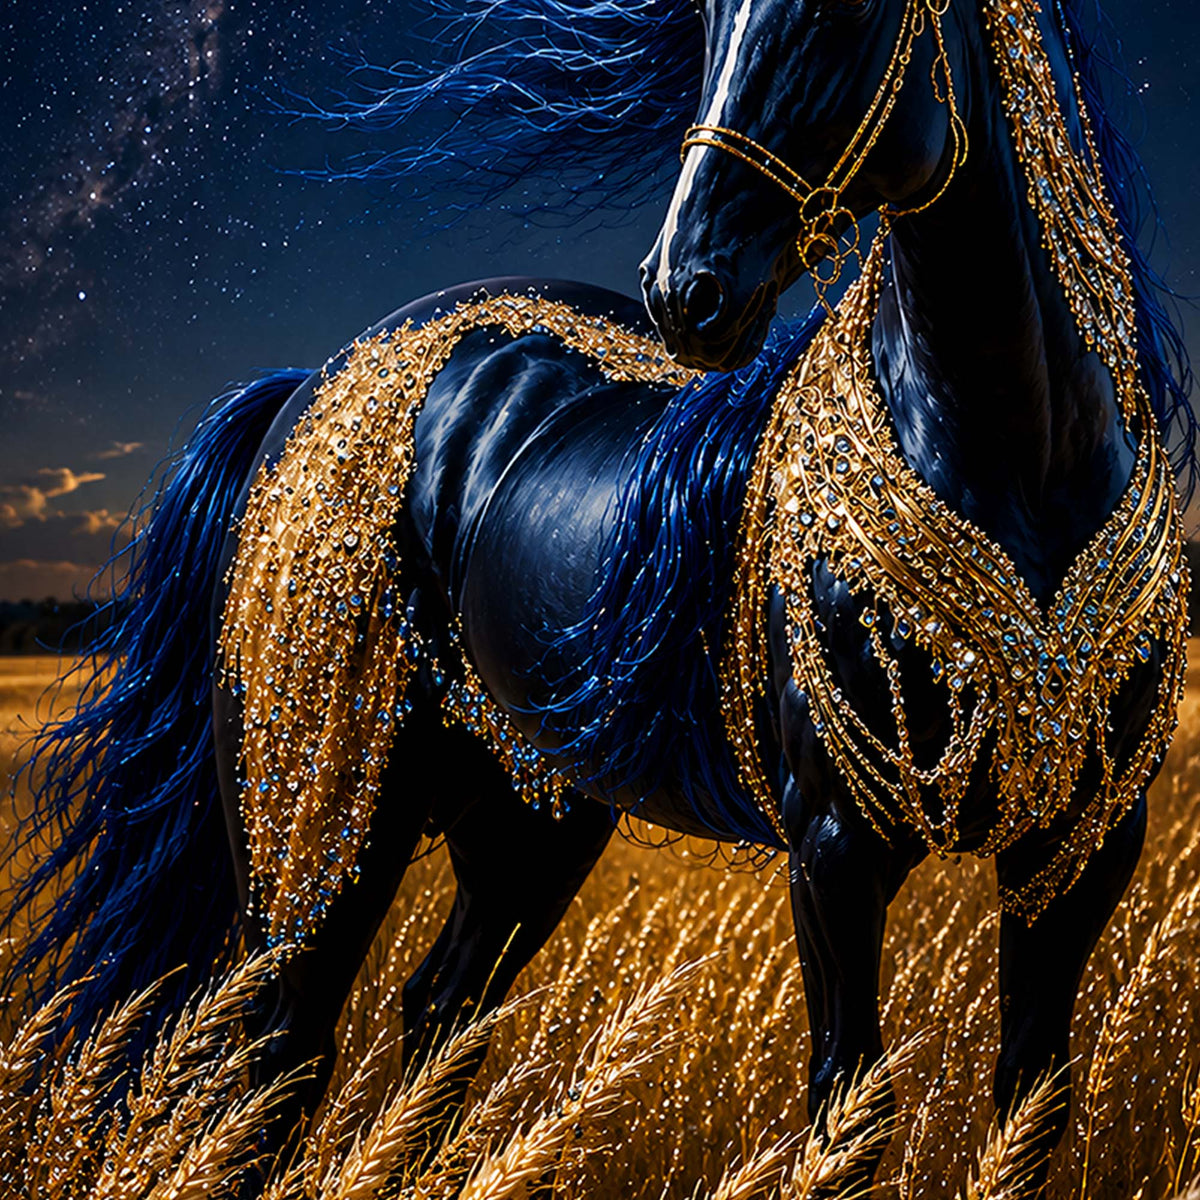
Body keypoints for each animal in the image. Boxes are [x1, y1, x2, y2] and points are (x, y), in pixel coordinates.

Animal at [4, 0, 1193, 1192]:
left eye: (845, 12)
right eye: (711, 21)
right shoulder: (834, 846)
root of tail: (316, 381)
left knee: (439, 1015)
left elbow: (1030, 1106)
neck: (1017, 469)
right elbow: (849, 1114)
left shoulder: (1085, 851)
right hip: (326, 805)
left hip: (528, 815)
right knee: (278, 1052)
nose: (686, 287)